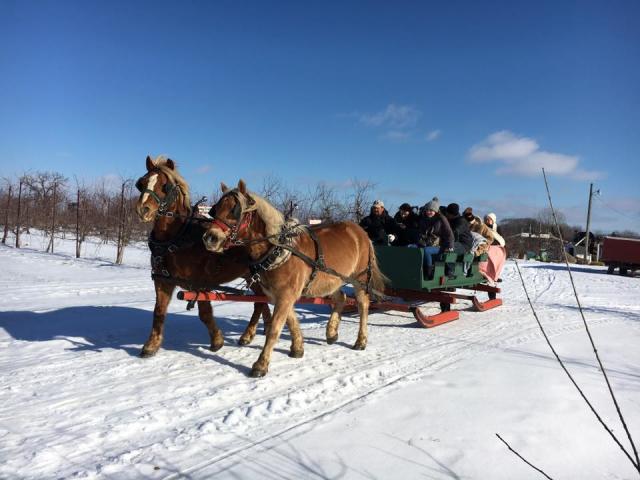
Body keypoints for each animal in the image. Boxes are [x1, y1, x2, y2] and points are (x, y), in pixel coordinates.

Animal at [135, 156, 270, 358]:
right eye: (141, 183)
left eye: (165, 185)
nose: (143, 209)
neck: (178, 237)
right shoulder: (163, 280)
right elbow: (158, 311)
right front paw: (151, 345)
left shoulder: (201, 283)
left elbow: (205, 313)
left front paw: (217, 341)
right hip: (252, 277)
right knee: (262, 302)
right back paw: (259, 331)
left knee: (262, 302)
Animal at [204, 178, 384, 376]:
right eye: (215, 209)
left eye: (234, 210)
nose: (210, 238)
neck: (279, 249)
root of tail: (360, 231)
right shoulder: (279, 295)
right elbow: (290, 320)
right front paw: (297, 348)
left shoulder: (286, 294)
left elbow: (275, 328)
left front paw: (261, 364)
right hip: (331, 280)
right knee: (341, 298)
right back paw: (331, 332)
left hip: (359, 279)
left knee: (363, 305)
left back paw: (361, 340)